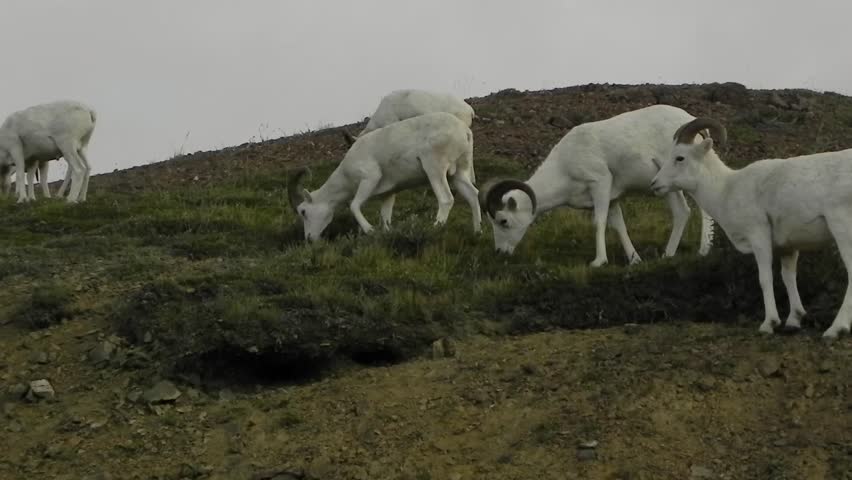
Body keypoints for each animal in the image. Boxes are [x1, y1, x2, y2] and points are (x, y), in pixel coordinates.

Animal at [288, 111, 480, 240]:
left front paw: (370, 230)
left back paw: (434, 228)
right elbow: (385, 217)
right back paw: (477, 231)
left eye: (303, 211)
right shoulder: (388, 194)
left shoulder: (369, 178)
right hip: (458, 173)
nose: (309, 239)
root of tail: (465, 132)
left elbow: (354, 205)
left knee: (446, 199)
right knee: (472, 194)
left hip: (434, 168)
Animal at [478, 104, 715, 266]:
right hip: (668, 187)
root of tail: (689, 120)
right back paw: (675, 254)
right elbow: (619, 226)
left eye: (503, 220)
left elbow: (599, 223)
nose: (499, 252)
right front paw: (634, 260)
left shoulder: (600, 184)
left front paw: (598, 262)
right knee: (684, 212)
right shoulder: (613, 199)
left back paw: (697, 252)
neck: (564, 167)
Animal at [651, 117, 852, 339]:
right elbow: (788, 277)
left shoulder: (759, 237)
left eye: (680, 158)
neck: (726, 190)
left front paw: (769, 324)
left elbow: (764, 278)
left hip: (843, 230)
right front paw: (794, 321)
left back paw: (835, 330)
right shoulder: (788, 247)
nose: (654, 184)